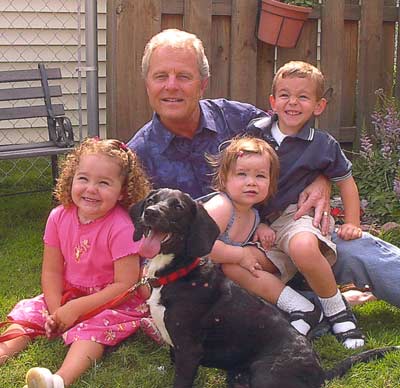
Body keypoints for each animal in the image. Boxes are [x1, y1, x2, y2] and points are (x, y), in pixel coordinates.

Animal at [130, 189, 396, 388]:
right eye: (152, 200)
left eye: (178, 207)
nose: (150, 212)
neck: (180, 273)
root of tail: (320, 371)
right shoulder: (177, 348)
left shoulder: (189, 349)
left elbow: (181, 379)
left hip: (265, 374)